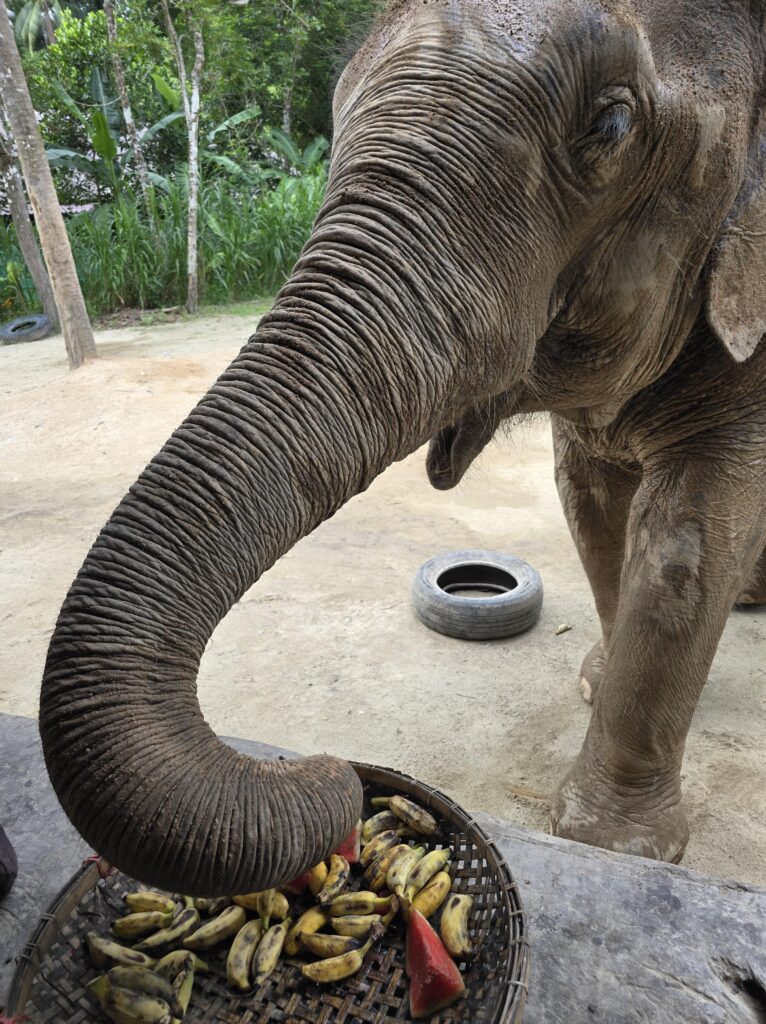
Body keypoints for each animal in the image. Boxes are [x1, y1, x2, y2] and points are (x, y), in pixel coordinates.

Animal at [38, 0, 766, 897]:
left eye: (612, 124)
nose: (328, 772)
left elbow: (687, 542)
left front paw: (618, 847)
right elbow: (592, 501)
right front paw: (594, 683)